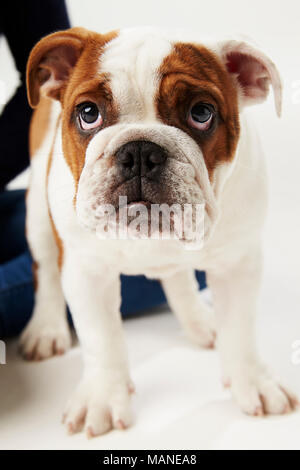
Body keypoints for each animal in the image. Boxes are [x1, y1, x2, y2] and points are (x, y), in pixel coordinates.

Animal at [19, 25, 298, 436]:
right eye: (88, 113)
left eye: (202, 113)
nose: (138, 151)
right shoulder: (87, 271)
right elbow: (101, 339)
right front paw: (103, 397)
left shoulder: (238, 264)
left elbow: (240, 329)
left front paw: (254, 381)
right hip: (38, 212)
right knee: (46, 270)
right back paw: (46, 328)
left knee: (178, 276)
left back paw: (200, 320)